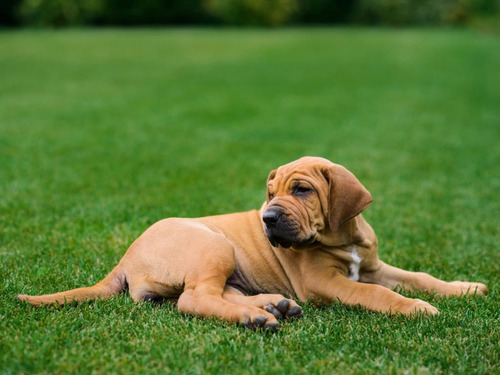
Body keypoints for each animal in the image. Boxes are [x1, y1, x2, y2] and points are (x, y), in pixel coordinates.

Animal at [18, 157, 488, 330]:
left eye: (302, 190)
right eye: (269, 193)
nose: (268, 218)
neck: (343, 237)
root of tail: (124, 259)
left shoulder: (374, 266)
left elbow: (419, 276)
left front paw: (465, 288)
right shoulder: (325, 283)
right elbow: (372, 294)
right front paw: (416, 309)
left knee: (210, 293)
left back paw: (271, 306)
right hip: (214, 244)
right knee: (193, 299)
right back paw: (256, 318)